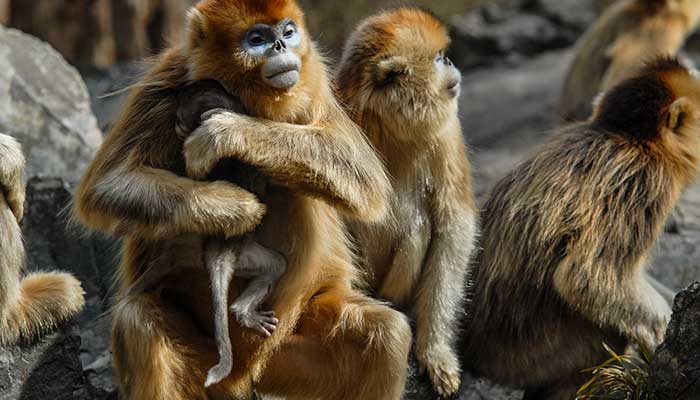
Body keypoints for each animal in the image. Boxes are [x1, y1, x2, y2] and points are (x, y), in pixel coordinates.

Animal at [74, 0, 412, 400]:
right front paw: (234, 208)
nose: (280, 46)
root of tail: (242, 374)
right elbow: (107, 187)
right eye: (257, 39)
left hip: (288, 359)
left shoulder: (313, 80)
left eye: (287, 32)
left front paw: (226, 131)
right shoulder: (165, 81)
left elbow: (365, 181)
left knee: (387, 334)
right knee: (138, 320)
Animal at [336, 7, 478, 398]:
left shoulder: (446, 133)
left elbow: (453, 226)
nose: (451, 64)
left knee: (419, 224)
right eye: (439, 58)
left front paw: (435, 352)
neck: (387, 125)